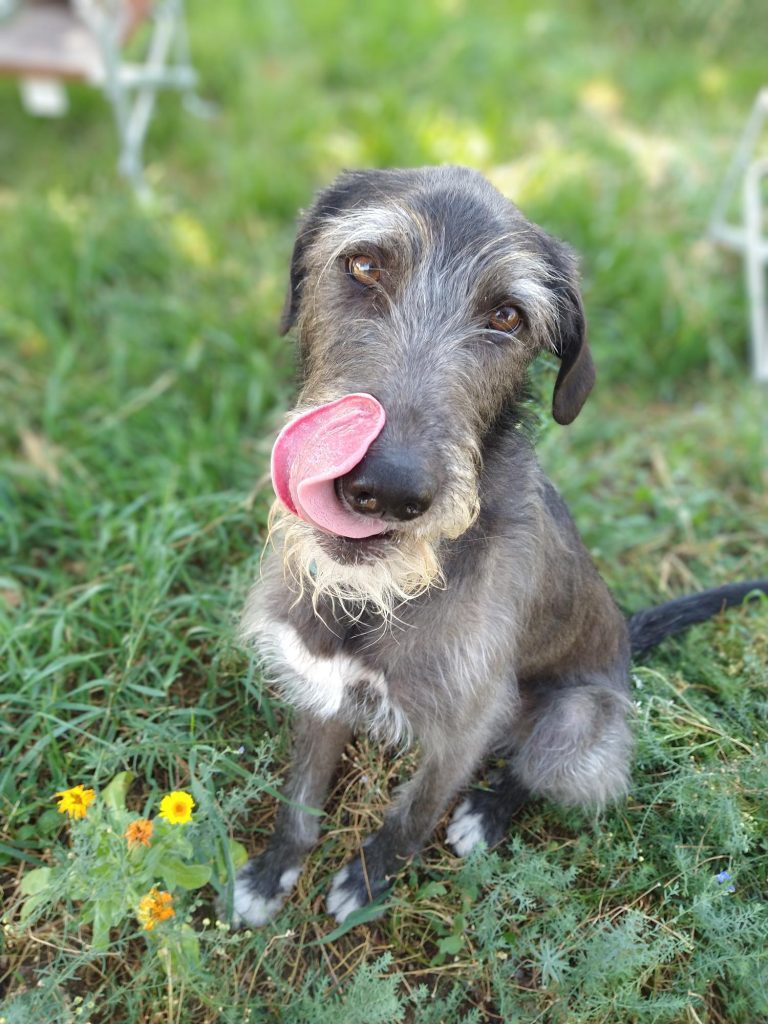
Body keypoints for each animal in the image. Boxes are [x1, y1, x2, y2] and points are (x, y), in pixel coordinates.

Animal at [234, 163, 768, 925]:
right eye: (363, 265)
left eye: (507, 317)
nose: (386, 488)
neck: (375, 599)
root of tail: (627, 639)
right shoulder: (317, 684)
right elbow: (301, 794)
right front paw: (275, 869)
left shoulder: (467, 723)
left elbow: (413, 813)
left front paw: (369, 881)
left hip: (579, 720)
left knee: (544, 769)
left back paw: (487, 813)